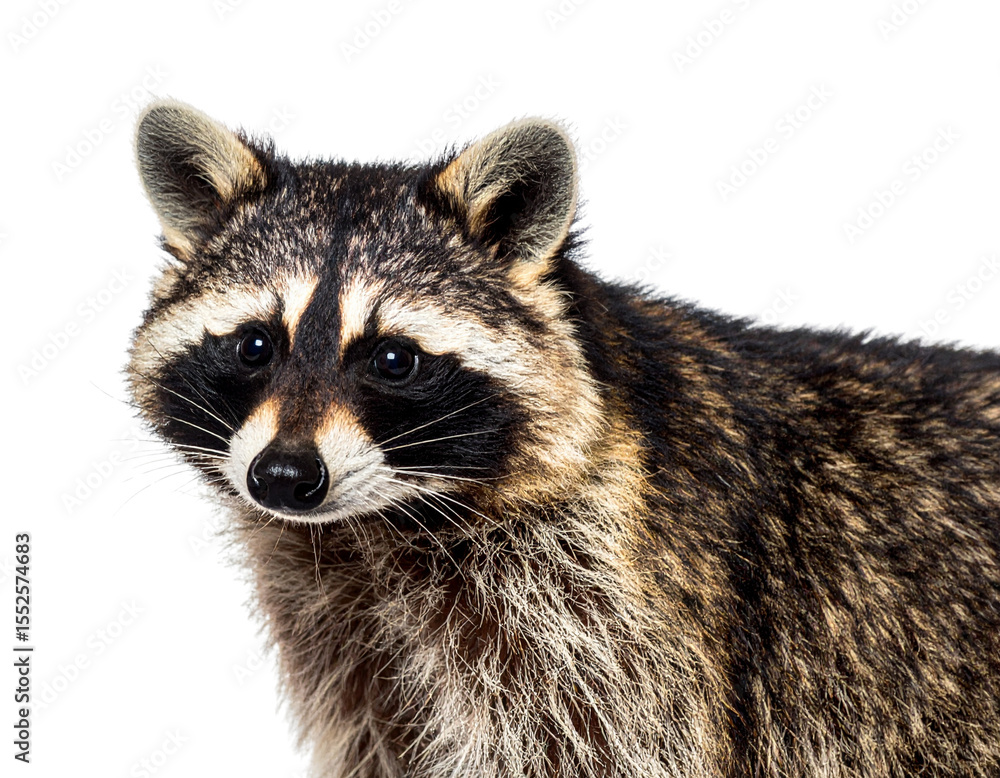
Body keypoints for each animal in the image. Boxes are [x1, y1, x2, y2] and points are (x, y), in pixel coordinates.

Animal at [128, 100, 1000, 778]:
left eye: (393, 359)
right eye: (254, 346)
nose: (284, 476)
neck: (378, 526)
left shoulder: (613, 619)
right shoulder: (351, 640)